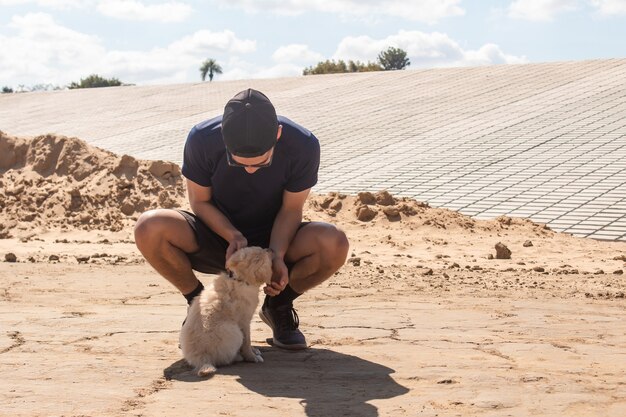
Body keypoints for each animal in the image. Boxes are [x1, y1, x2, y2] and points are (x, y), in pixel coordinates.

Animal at [177, 245, 272, 376]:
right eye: (259, 257)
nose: (269, 250)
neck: (239, 279)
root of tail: (202, 359)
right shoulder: (244, 321)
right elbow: (247, 341)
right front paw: (252, 357)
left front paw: (254, 350)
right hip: (234, 332)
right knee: (225, 359)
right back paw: (239, 357)